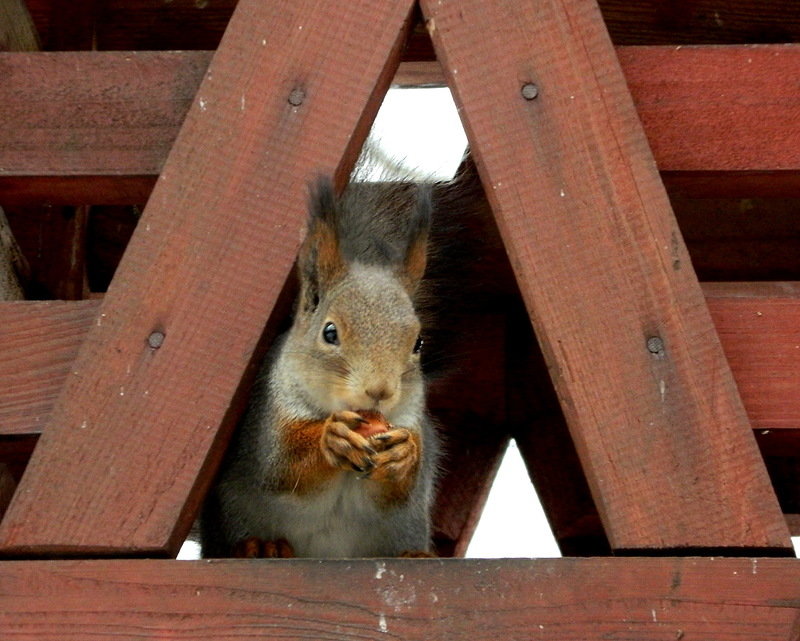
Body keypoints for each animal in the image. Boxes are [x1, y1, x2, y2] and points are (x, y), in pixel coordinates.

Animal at [200, 174, 446, 556]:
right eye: (330, 333)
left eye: (418, 343)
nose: (379, 391)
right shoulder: (268, 418)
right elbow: (282, 466)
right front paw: (332, 439)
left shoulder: (411, 422)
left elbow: (398, 493)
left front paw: (403, 455)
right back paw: (264, 547)